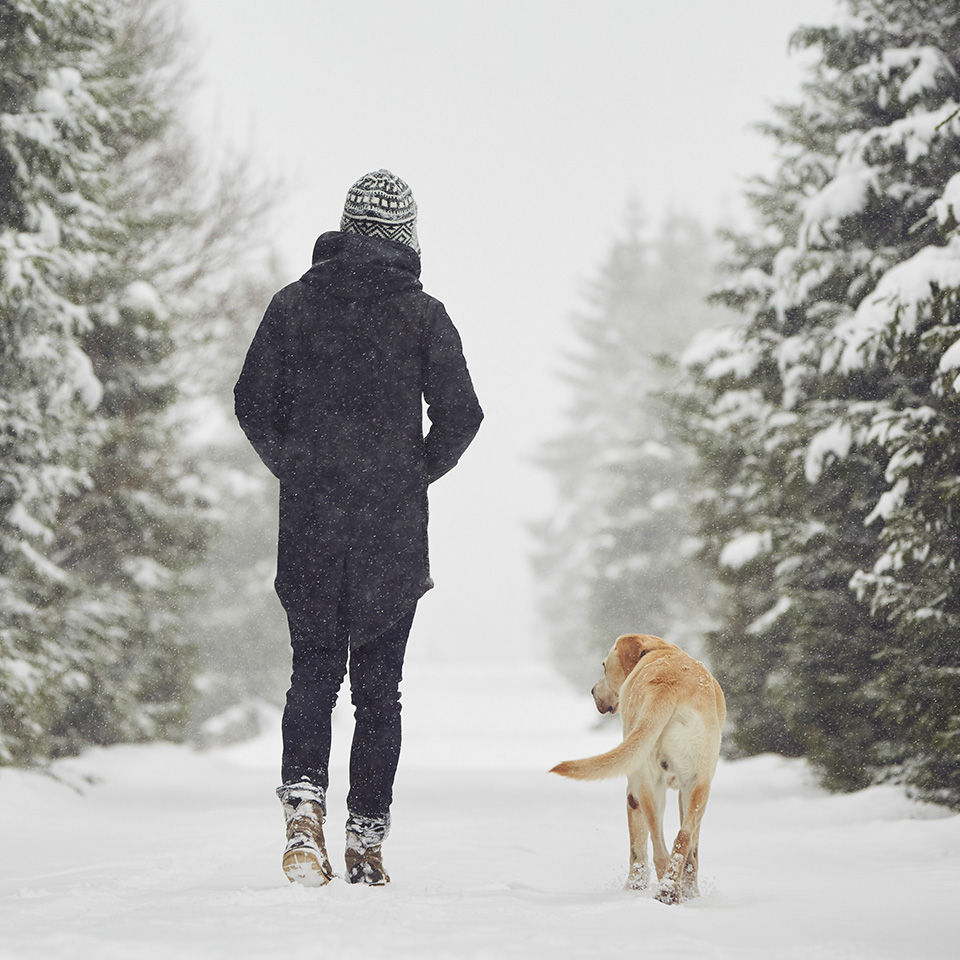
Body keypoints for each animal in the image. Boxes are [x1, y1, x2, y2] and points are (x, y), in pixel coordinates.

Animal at [552, 632, 724, 904]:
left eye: (604, 666)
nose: (592, 690)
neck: (658, 652)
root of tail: (667, 686)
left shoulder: (634, 793)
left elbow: (637, 849)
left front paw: (634, 887)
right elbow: (690, 850)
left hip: (648, 787)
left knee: (659, 848)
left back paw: (666, 891)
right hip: (695, 785)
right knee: (680, 841)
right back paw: (670, 891)